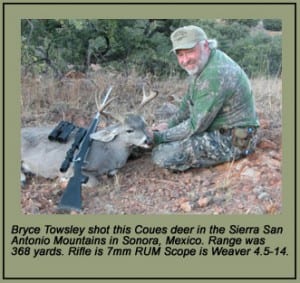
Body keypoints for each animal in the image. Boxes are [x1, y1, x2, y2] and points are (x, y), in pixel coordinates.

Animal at [21, 86, 158, 189]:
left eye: (144, 124)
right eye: (129, 130)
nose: (148, 140)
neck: (109, 154)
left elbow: (113, 172)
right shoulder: (72, 168)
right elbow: (93, 181)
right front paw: (62, 180)